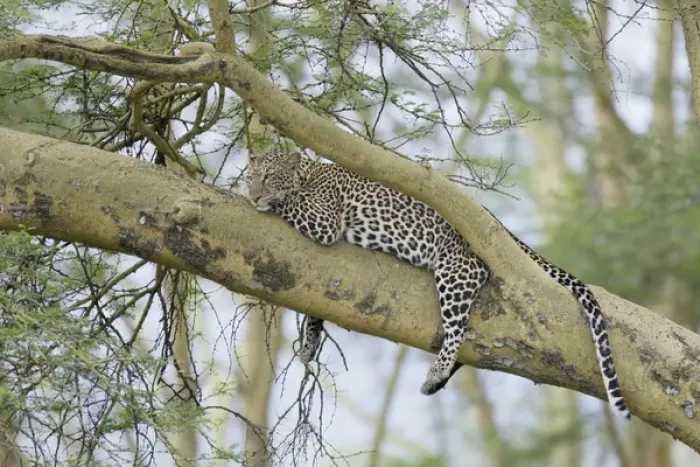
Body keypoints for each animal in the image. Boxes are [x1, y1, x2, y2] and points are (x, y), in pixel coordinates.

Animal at [246, 149, 630, 419]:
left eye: (269, 177)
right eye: (251, 176)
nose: (251, 195)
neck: (308, 172)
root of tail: (500, 229)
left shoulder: (324, 221)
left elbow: (290, 203)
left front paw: (272, 201)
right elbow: (316, 306)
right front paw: (310, 341)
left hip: (455, 272)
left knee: (456, 332)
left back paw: (436, 373)